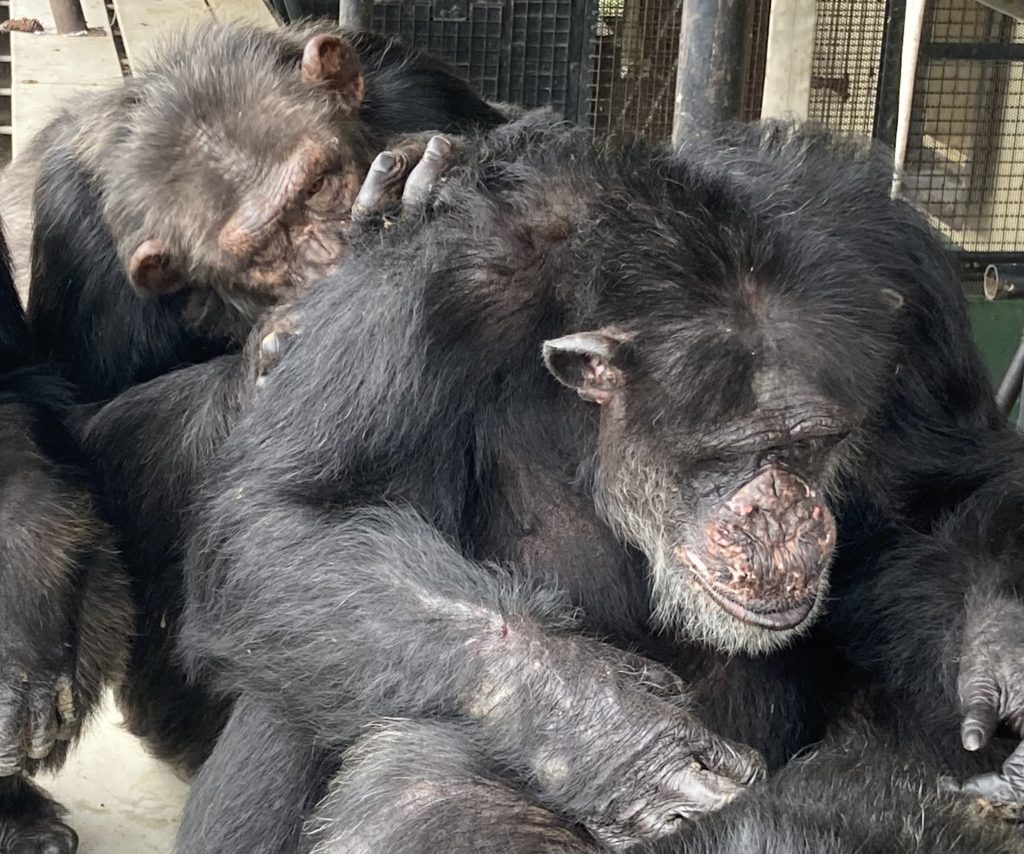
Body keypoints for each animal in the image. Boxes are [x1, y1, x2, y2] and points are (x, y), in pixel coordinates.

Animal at [4, 19, 503, 399]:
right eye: (262, 253)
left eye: (318, 185)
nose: (338, 257)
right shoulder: (79, 254)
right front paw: (274, 349)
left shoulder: (418, 84)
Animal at [155, 113, 1024, 851]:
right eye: (721, 456)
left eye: (812, 444)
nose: (780, 511)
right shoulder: (416, 300)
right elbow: (291, 515)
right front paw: (616, 737)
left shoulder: (901, 278)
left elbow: (944, 495)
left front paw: (1000, 647)